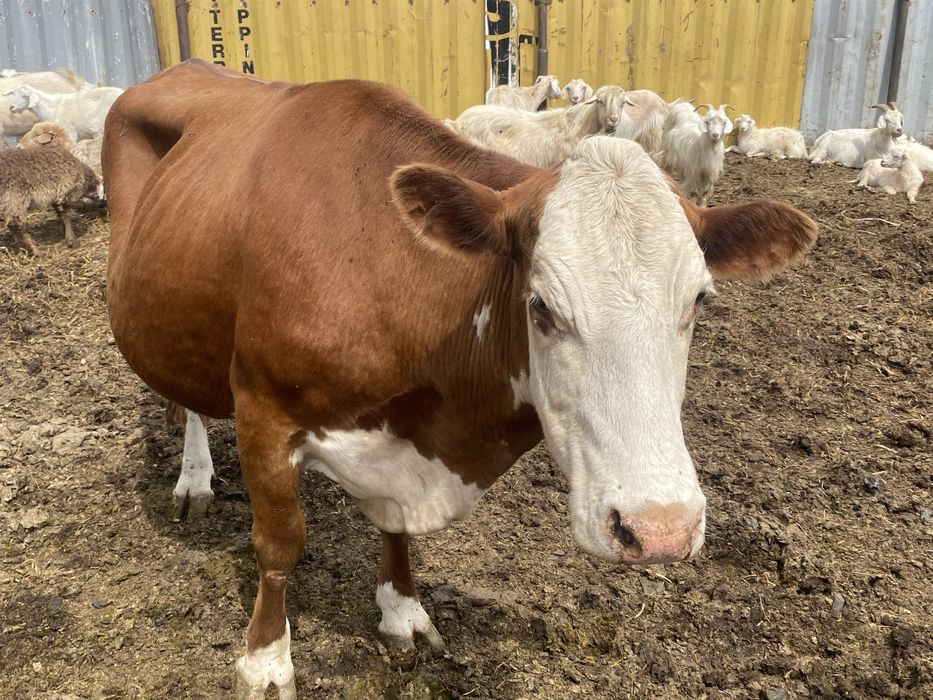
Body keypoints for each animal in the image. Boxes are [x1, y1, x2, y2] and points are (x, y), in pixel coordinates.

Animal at [103, 60, 817, 698]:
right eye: (540, 306)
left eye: (700, 299)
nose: (660, 529)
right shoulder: (263, 406)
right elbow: (279, 543)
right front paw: (265, 663)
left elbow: (391, 527)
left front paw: (403, 612)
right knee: (186, 402)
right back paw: (194, 477)